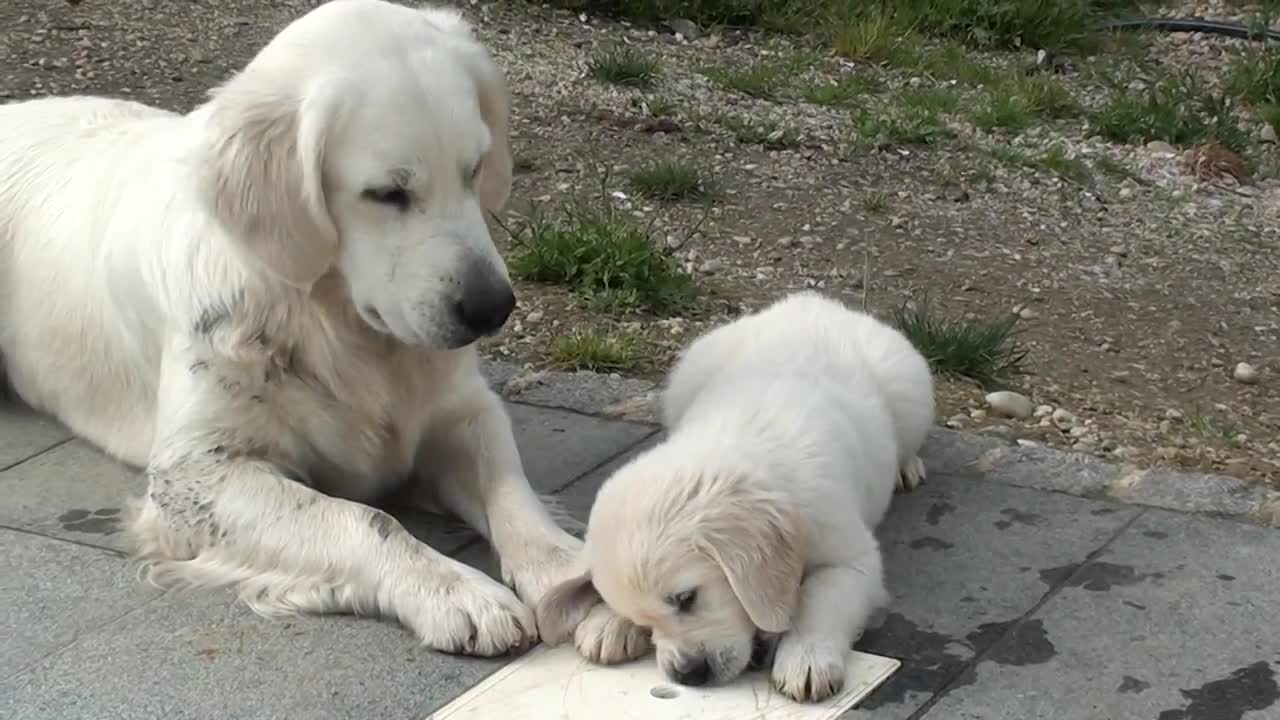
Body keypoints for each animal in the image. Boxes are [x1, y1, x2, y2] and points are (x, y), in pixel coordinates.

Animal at [535, 288, 936, 696]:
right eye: (645, 621)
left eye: (686, 599)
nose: (688, 675)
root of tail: (809, 301)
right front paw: (608, 621)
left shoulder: (852, 558)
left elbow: (820, 599)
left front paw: (806, 658)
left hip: (910, 388)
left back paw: (906, 467)